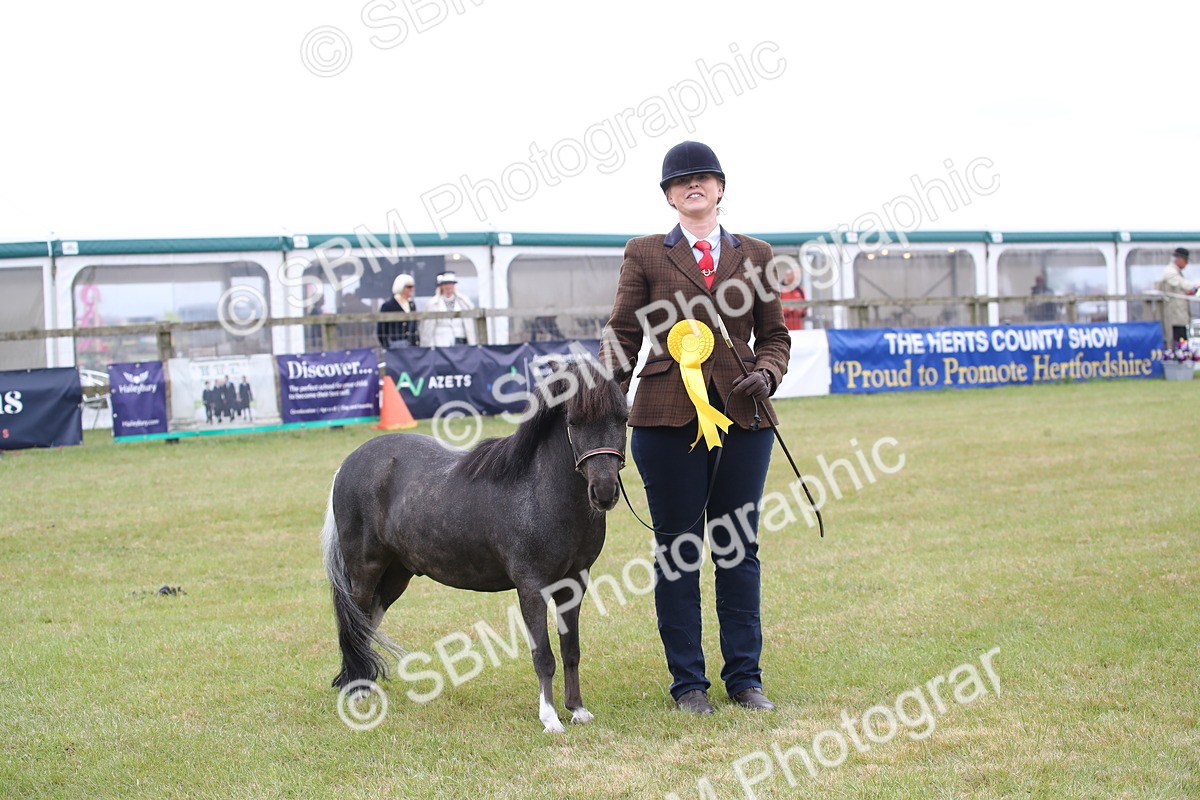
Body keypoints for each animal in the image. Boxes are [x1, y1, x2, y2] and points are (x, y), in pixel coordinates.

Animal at [322, 362, 628, 733]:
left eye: (624, 418)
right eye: (573, 422)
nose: (604, 492)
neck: (539, 490)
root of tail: (347, 465)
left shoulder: (575, 584)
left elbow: (571, 649)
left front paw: (578, 710)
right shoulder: (532, 587)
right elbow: (543, 655)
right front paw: (550, 719)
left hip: (395, 576)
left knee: (366, 624)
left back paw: (363, 685)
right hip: (364, 570)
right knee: (354, 625)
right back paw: (357, 692)